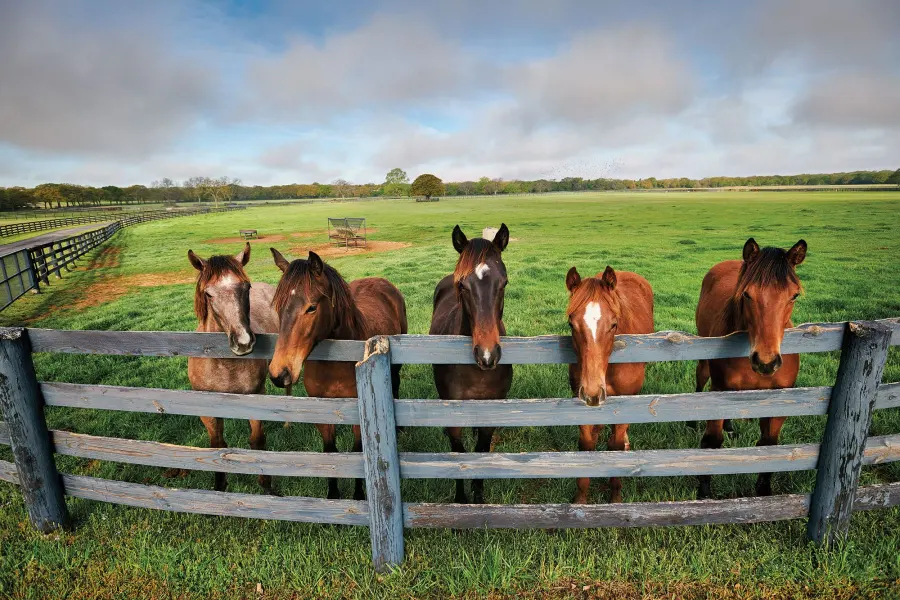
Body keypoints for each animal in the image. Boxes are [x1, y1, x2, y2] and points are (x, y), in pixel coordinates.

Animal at [185, 241, 278, 494]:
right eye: (208, 293)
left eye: (246, 287)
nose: (244, 342)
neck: (224, 365)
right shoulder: (208, 409)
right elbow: (217, 445)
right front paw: (220, 485)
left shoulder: (256, 397)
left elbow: (257, 441)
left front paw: (267, 486)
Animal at [268, 248, 408, 502]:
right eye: (278, 308)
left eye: (311, 307)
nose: (279, 373)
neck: (335, 361)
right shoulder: (322, 412)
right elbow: (330, 451)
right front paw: (333, 494)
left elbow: (356, 450)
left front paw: (358, 494)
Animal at [430, 223, 512, 504]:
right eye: (463, 285)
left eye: (504, 283)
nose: (487, 355)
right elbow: (458, 453)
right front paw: (461, 499)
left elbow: (481, 451)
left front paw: (478, 496)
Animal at [568, 264, 652, 504]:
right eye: (571, 324)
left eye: (614, 324)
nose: (592, 393)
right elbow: (587, 446)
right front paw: (581, 499)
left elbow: (615, 446)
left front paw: (615, 497)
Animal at [696, 238, 808, 496]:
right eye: (747, 294)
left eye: (794, 296)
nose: (766, 362)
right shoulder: (719, 391)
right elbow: (712, 442)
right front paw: (704, 492)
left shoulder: (777, 400)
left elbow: (768, 445)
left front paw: (763, 491)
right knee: (700, 377)